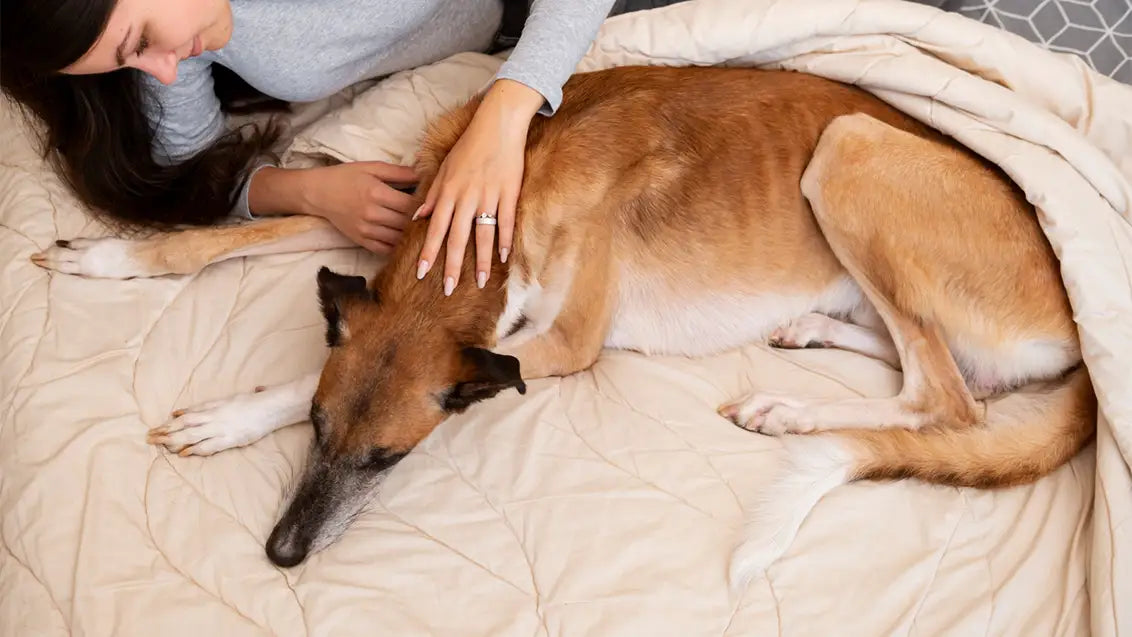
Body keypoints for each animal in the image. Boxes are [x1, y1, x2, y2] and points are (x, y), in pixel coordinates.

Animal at [37, 66, 1095, 583]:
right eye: (318, 435)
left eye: (388, 460)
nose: (282, 557)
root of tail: (1079, 322)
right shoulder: (390, 216)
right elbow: (232, 237)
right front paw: (113, 259)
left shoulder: (554, 343)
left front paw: (228, 415)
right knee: (940, 373)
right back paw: (806, 341)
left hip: (851, 150)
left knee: (950, 401)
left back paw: (791, 411)